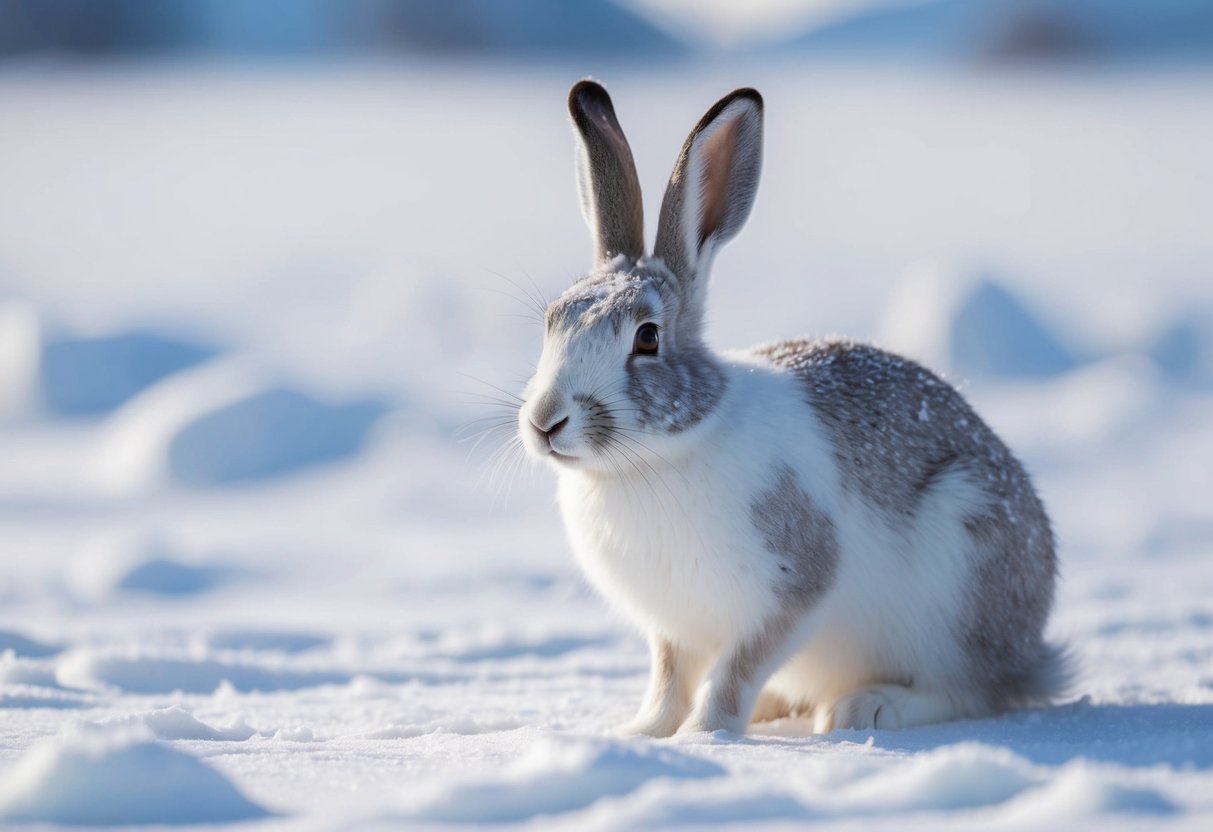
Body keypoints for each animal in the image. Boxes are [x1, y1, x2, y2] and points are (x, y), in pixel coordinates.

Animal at [516, 79, 1068, 736]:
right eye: (552, 320)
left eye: (647, 339)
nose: (545, 422)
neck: (653, 457)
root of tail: (1032, 648)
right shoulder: (673, 629)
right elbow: (669, 680)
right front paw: (644, 733)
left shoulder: (792, 587)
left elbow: (735, 671)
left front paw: (706, 734)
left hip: (960, 567)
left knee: (972, 691)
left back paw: (866, 708)